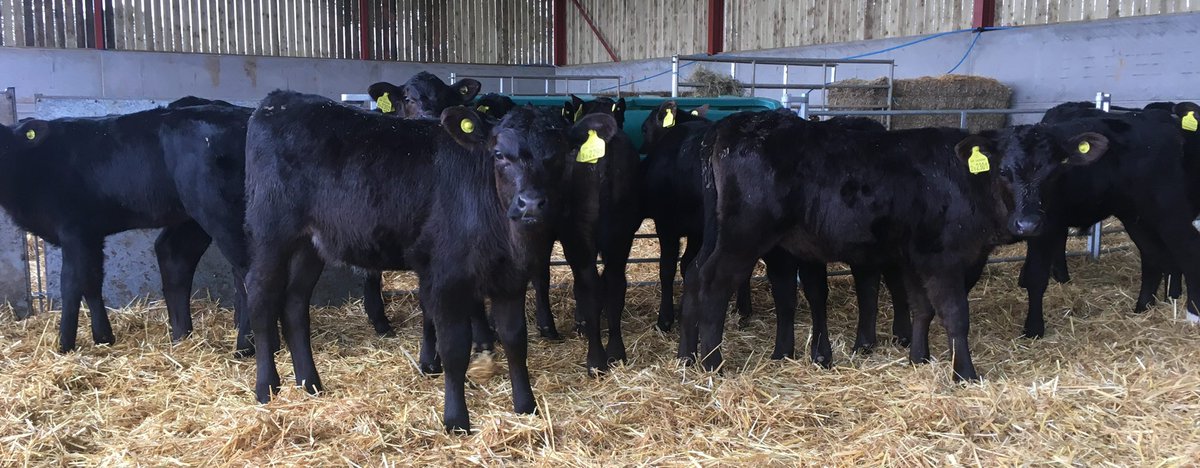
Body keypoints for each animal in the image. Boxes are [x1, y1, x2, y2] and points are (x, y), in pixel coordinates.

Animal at [242, 90, 623, 432]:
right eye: (499, 154)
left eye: (559, 155)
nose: (530, 203)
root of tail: (279, 100)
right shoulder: (446, 277)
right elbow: (454, 349)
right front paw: (456, 420)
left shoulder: (511, 278)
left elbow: (516, 340)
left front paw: (525, 406)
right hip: (271, 232)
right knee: (260, 296)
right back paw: (267, 387)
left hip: (310, 244)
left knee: (294, 303)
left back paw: (309, 383)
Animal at [678, 109, 1115, 381]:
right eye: (1004, 171)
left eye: (1054, 169)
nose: (1029, 223)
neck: (964, 180)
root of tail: (732, 124)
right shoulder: (942, 257)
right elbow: (955, 314)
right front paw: (965, 374)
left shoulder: (913, 256)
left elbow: (921, 307)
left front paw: (918, 358)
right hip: (744, 234)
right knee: (714, 280)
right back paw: (713, 363)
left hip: (721, 233)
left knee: (694, 273)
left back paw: (687, 356)